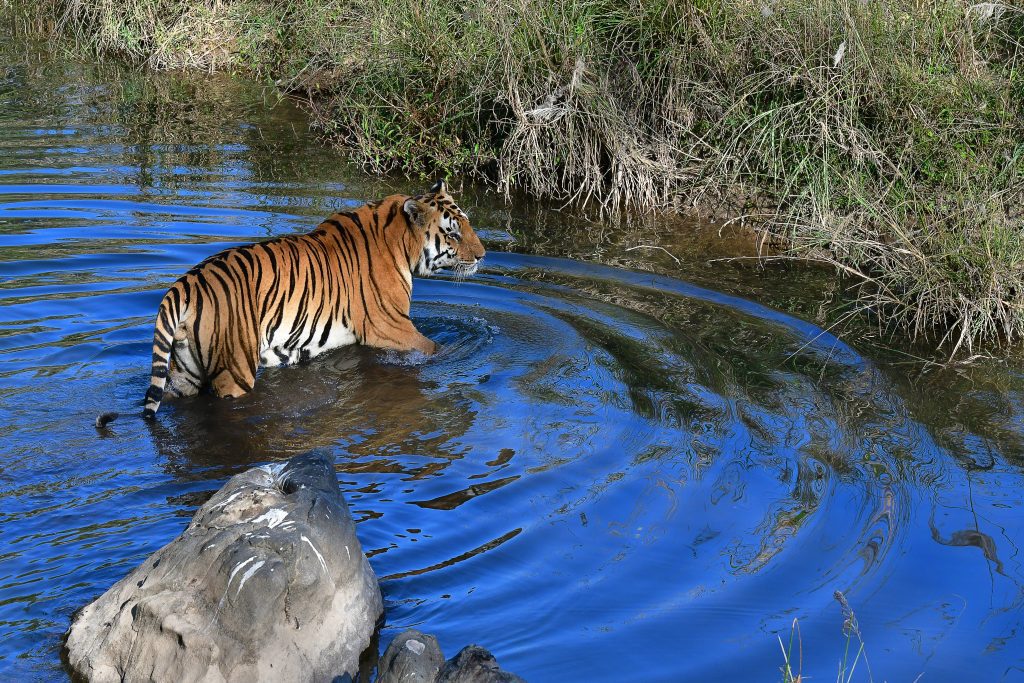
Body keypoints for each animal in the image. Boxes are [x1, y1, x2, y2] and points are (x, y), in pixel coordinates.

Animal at [95, 181, 484, 426]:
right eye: (452, 231)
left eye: (467, 223)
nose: (482, 255)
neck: (401, 243)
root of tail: (185, 284)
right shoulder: (391, 325)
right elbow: (436, 348)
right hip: (234, 369)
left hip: (185, 371)